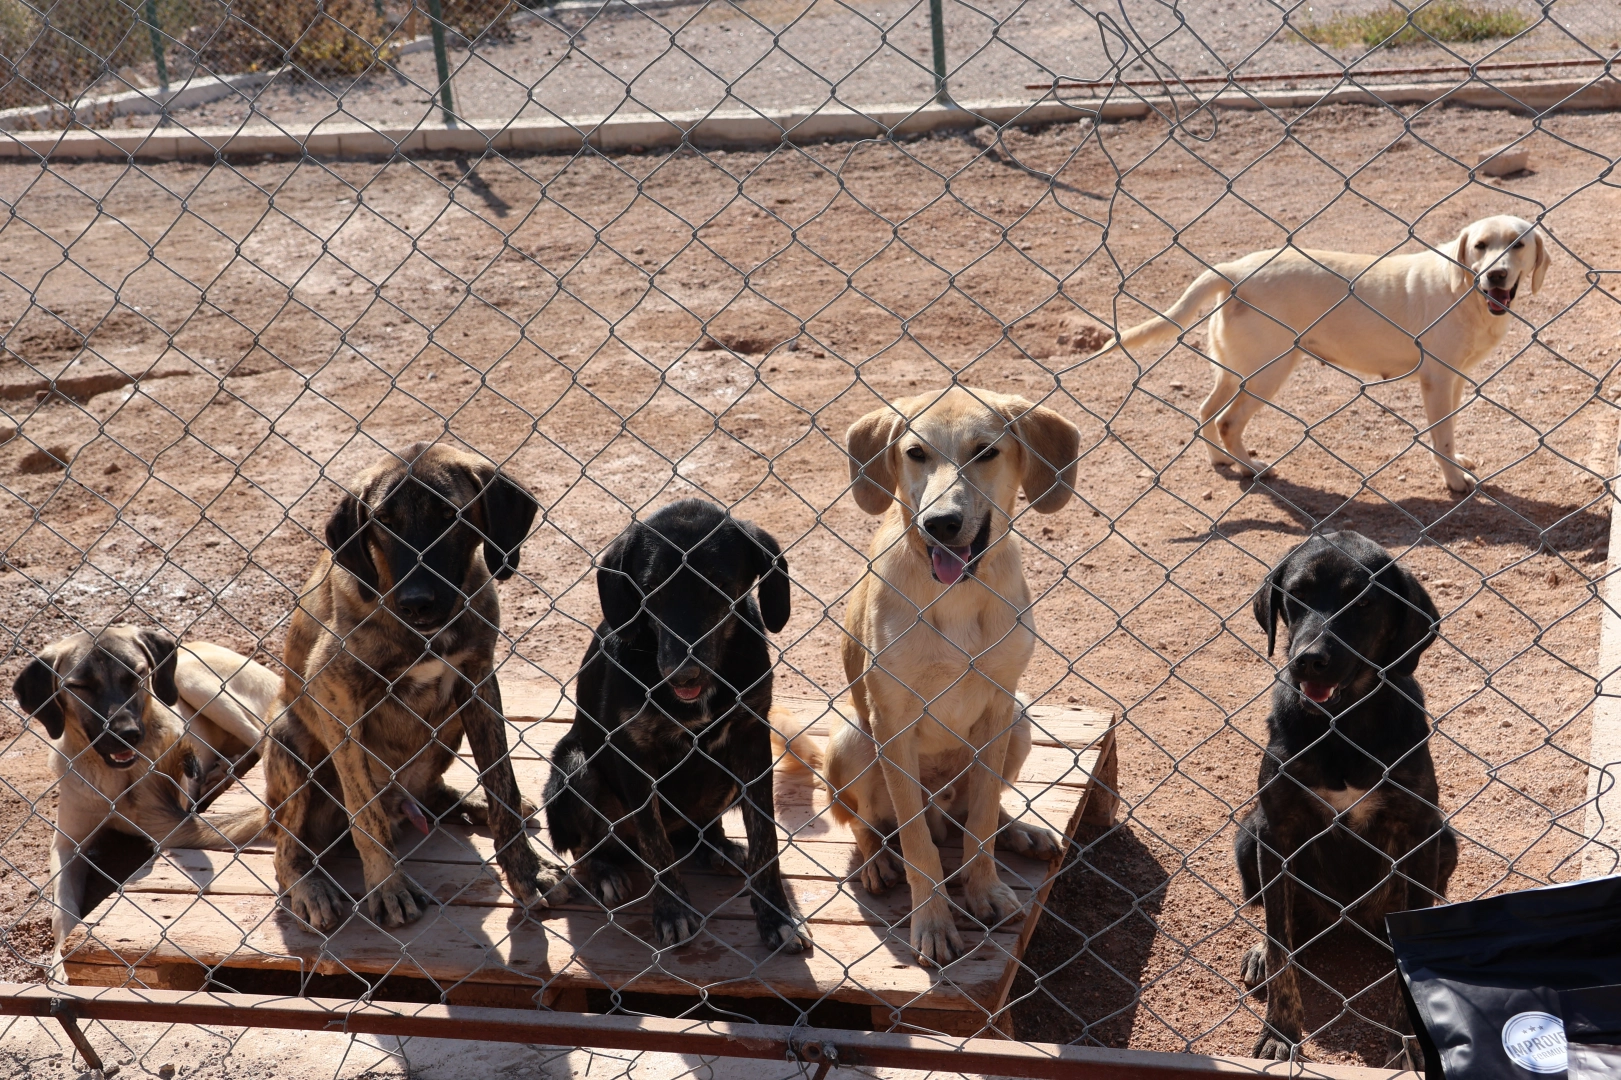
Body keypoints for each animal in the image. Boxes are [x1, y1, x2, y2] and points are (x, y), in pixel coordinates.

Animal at [265, 441, 570, 927]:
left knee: (431, 792)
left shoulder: (480, 681)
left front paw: (527, 870)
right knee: (285, 847)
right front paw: (388, 887)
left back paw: (469, 802)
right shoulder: (335, 696)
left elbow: (502, 783)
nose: (417, 603)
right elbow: (365, 814)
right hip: (288, 741)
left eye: (449, 515)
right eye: (384, 522)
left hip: (448, 723)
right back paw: (310, 887)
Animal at [544, 496, 810, 953]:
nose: (682, 674)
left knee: (699, 829)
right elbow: (655, 844)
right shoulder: (634, 754)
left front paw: (777, 916)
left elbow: (766, 839)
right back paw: (605, 871)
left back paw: (718, 848)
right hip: (574, 767)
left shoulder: (753, 740)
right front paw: (672, 911)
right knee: (589, 844)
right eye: (651, 587)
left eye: (718, 584)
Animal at [797, 387, 1076, 966]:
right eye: (916, 453)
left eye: (986, 452)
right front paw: (932, 922)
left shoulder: (998, 703)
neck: (957, 595)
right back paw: (878, 860)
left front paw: (983, 888)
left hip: (1020, 719)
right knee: (869, 826)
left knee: (972, 812)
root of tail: (940, 804)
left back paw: (1019, 830)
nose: (941, 523)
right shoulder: (893, 721)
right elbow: (918, 846)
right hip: (854, 736)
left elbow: (984, 822)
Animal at [1082, 214, 1549, 492]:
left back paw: (1224, 462)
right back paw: (1253, 469)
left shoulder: (1455, 380)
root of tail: (1233, 270)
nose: (1497, 274)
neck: (1465, 292)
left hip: (1235, 369)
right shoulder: (1436, 380)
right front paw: (1454, 479)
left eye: (1518, 244)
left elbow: (1449, 434)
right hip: (1268, 372)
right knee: (1228, 421)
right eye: (1481, 245)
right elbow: (1441, 436)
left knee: (1206, 414)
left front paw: (1458, 462)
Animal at [1238, 525, 1458, 1057]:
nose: (1308, 661)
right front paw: (1280, 1031)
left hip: (1444, 839)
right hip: (1249, 835)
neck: (1342, 727)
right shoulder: (1276, 831)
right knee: (1283, 925)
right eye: (1294, 596)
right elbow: (1279, 943)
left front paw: (1409, 1038)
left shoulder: (1418, 832)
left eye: (1362, 603)